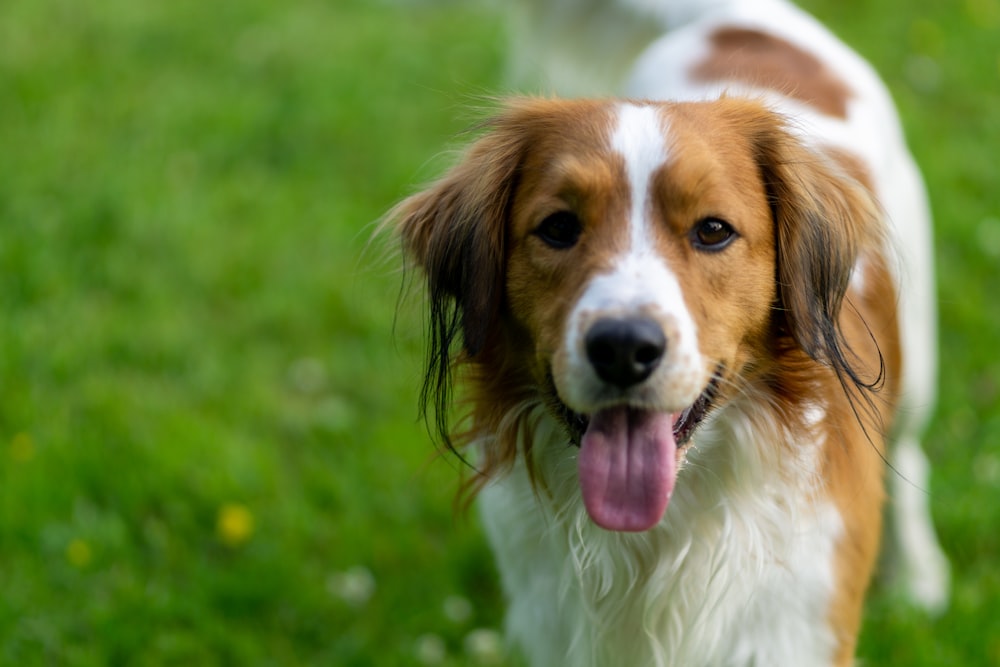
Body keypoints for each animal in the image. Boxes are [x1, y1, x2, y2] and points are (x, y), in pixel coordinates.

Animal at [386, 1, 948, 664]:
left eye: (713, 230)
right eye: (557, 228)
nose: (623, 348)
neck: (660, 537)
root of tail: (743, 20)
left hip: (916, 362)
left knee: (909, 454)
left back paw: (918, 576)